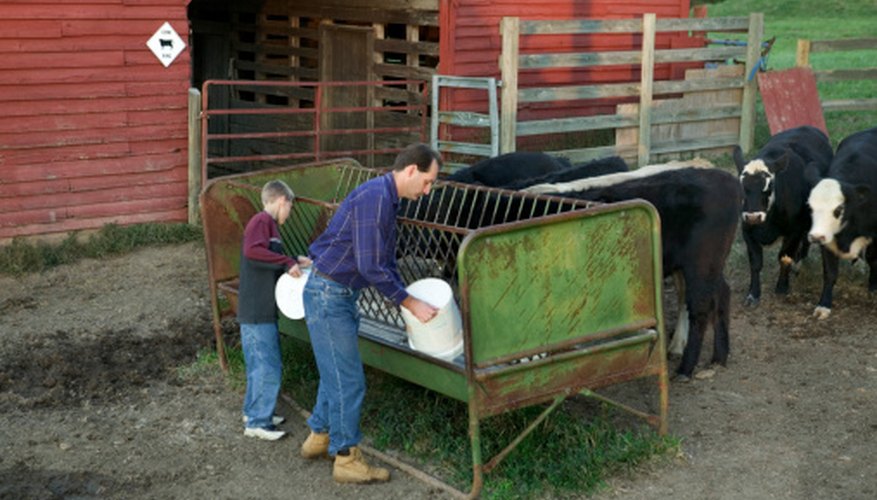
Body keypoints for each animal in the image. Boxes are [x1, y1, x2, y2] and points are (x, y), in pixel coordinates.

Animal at [524, 161, 744, 378]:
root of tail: (725, 177)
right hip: (711, 265)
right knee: (722, 293)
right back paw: (719, 357)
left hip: (701, 263)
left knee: (699, 307)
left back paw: (685, 368)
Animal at [732, 124, 836, 304]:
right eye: (742, 187)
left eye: (769, 186)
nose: (753, 216)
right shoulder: (747, 230)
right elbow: (755, 263)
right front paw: (753, 293)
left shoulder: (794, 230)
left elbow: (785, 257)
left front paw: (782, 286)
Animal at [804, 127, 876, 318]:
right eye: (810, 207)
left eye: (838, 209)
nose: (815, 236)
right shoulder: (827, 241)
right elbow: (830, 273)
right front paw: (824, 305)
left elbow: (874, 259)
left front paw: (874, 288)